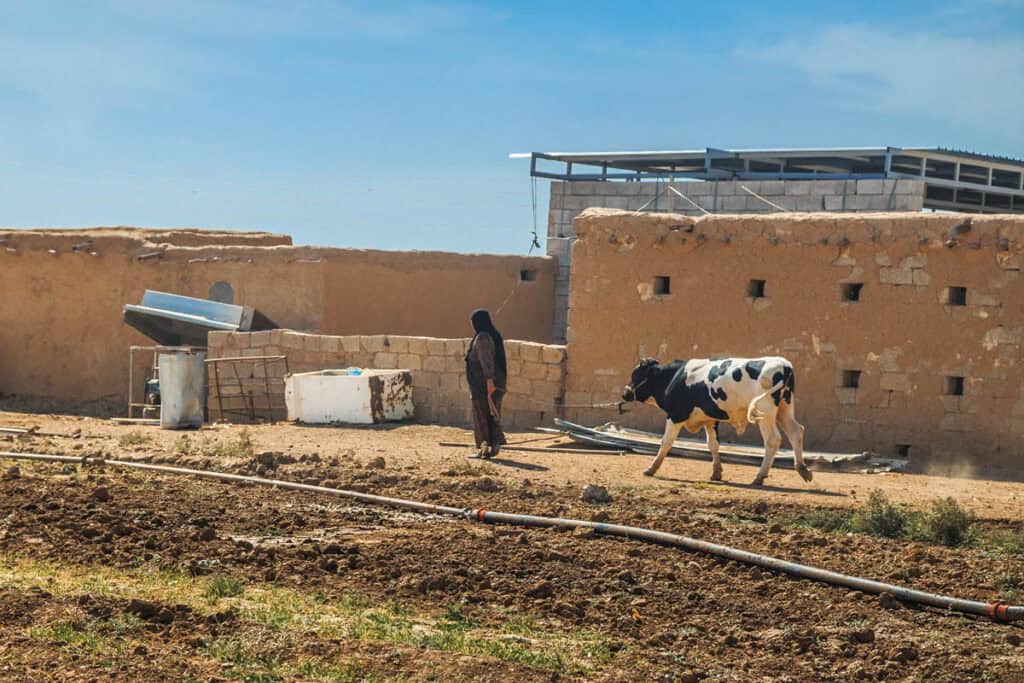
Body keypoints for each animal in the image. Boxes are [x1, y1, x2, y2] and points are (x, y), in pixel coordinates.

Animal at [618, 358, 811, 485]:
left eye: (636, 374)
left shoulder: (675, 415)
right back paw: (803, 469)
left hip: (766, 412)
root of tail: (784, 365)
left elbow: (666, 442)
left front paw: (651, 468)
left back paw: (759, 476)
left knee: (772, 440)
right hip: (784, 409)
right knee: (796, 431)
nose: (625, 393)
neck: (675, 377)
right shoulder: (710, 420)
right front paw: (716, 472)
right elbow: (713, 445)